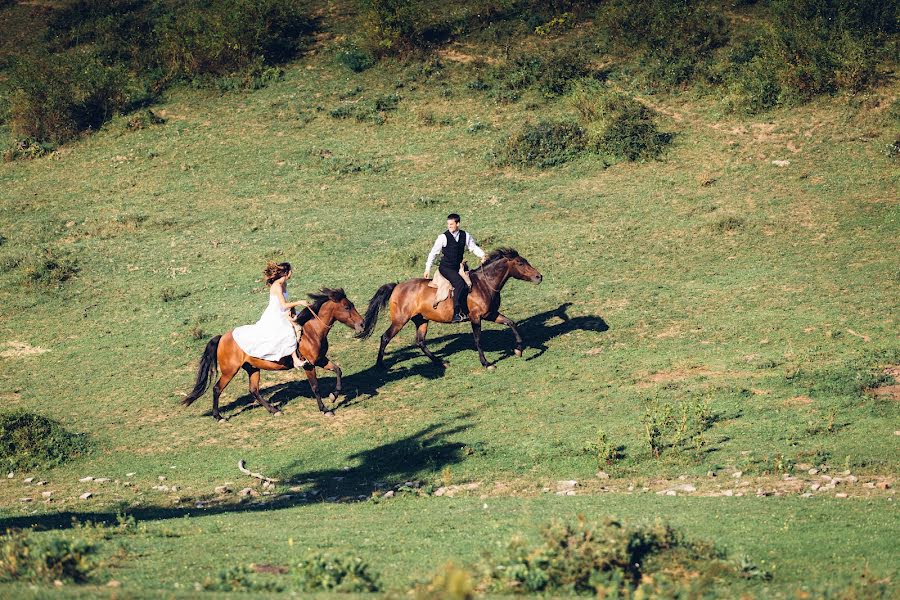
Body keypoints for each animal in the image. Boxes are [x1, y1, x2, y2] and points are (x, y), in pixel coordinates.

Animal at [181, 288, 364, 420]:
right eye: (347, 307)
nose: (362, 324)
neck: (311, 331)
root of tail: (222, 337)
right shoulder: (309, 365)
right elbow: (315, 387)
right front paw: (325, 409)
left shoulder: (320, 360)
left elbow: (338, 370)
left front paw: (334, 396)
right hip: (229, 371)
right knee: (217, 389)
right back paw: (218, 417)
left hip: (253, 368)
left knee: (254, 390)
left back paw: (274, 410)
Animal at [356, 248, 540, 370]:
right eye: (520, 263)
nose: (539, 276)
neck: (484, 284)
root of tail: (396, 286)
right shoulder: (476, 317)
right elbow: (478, 340)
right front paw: (486, 363)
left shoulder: (491, 314)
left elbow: (511, 323)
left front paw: (518, 350)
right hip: (400, 320)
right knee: (385, 337)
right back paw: (379, 366)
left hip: (421, 320)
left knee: (420, 341)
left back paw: (440, 361)